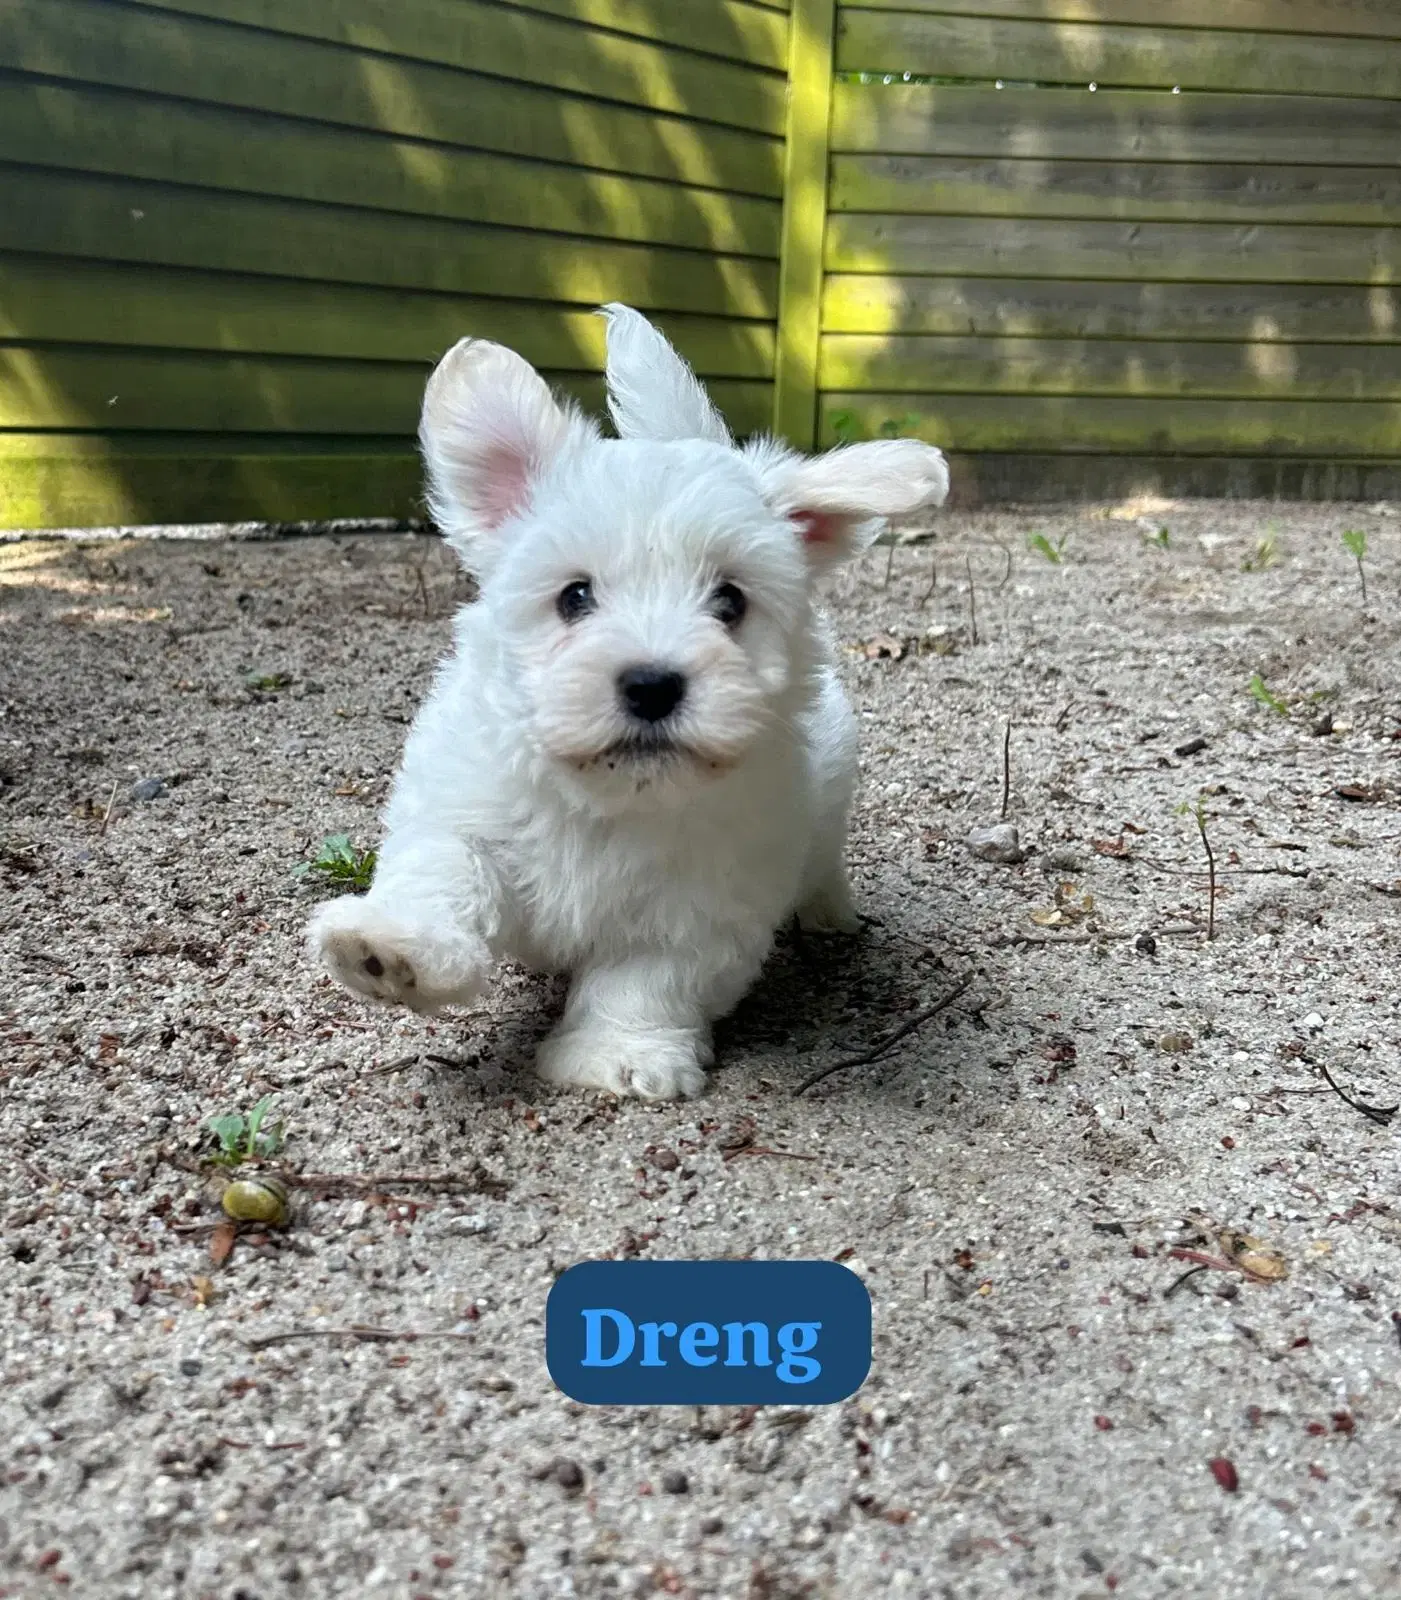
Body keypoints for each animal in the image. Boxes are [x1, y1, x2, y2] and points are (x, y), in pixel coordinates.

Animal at [310, 304, 946, 1094]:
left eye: (730, 602)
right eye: (574, 597)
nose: (651, 684)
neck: (613, 800)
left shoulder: (702, 908)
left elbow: (647, 980)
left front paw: (616, 1053)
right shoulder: (460, 811)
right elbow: (446, 872)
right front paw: (397, 951)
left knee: (824, 863)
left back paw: (832, 915)